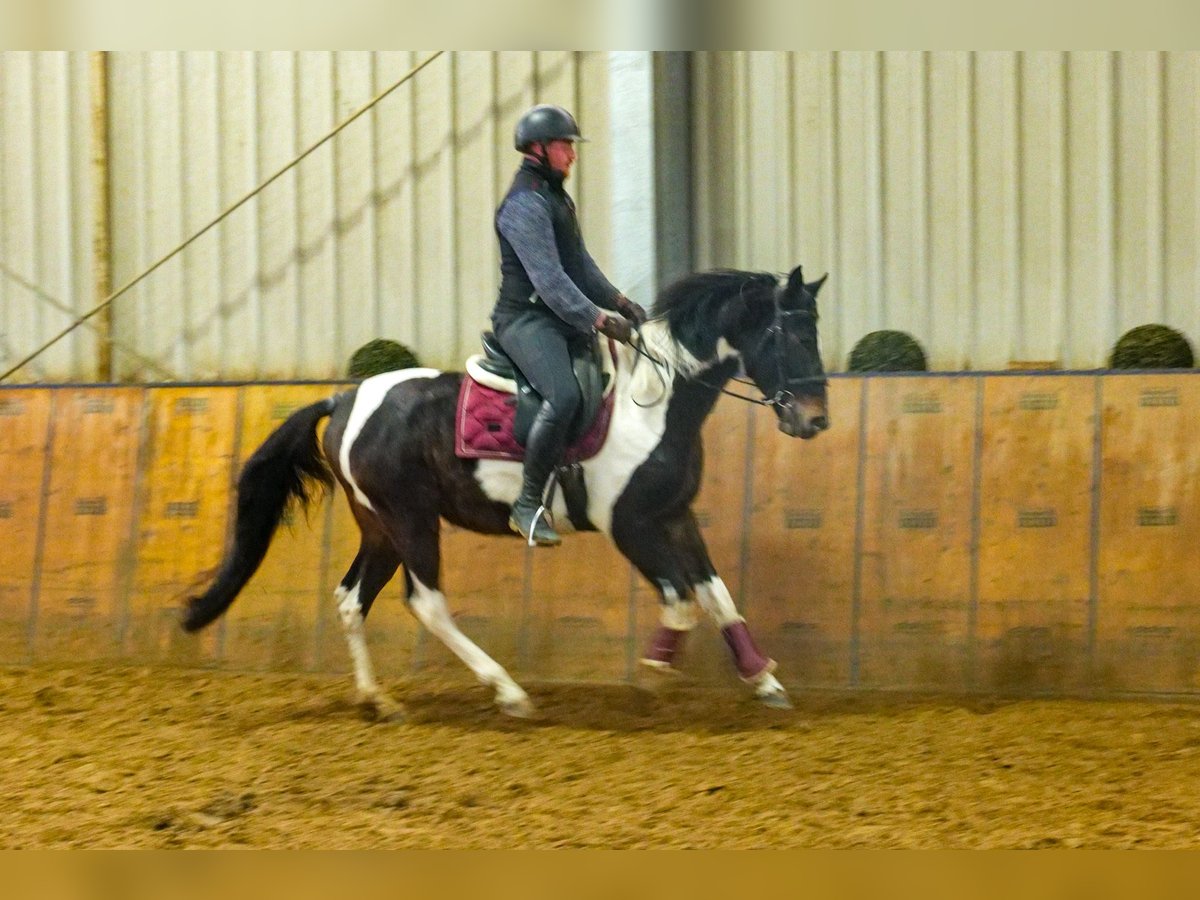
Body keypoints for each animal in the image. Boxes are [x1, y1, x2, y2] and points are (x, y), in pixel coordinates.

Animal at [182, 264, 830, 724]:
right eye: (792, 334)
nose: (815, 420)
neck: (655, 403)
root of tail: (345, 398)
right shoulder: (631, 527)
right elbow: (681, 601)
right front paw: (654, 674)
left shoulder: (674, 517)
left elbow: (719, 597)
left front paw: (764, 679)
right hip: (411, 519)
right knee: (427, 603)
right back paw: (509, 692)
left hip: (381, 527)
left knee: (351, 600)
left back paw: (379, 701)